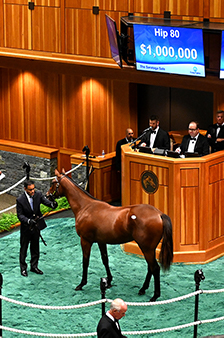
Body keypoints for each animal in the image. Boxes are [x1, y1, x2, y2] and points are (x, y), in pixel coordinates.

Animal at [46, 169, 173, 302]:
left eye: (53, 182)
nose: (47, 196)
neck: (85, 207)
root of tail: (159, 214)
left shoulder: (85, 241)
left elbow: (85, 261)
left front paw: (82, 284)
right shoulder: (101, 241)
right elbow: (105, 259)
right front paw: (109, 281)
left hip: (146, 248)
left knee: (155, 268)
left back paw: (155, 295)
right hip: (148, 248)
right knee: (150, 267)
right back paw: (143, 289)